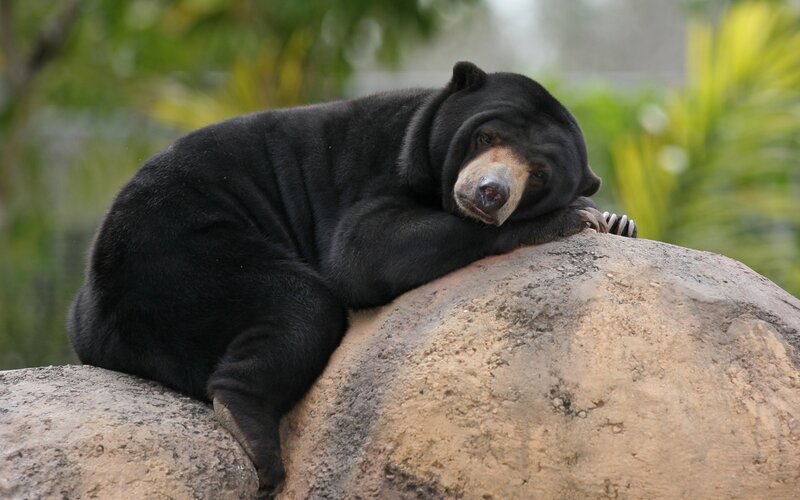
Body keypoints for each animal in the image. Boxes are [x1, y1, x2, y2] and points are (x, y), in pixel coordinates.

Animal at [67, 61, 634, 496]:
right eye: (486, 137)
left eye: (537, 174)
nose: (491, 193)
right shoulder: (377, 169)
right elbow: (361, 251)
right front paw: (575, 217)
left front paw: (617, 221)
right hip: (180, 252)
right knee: (300, 306)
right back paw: (252, 435)